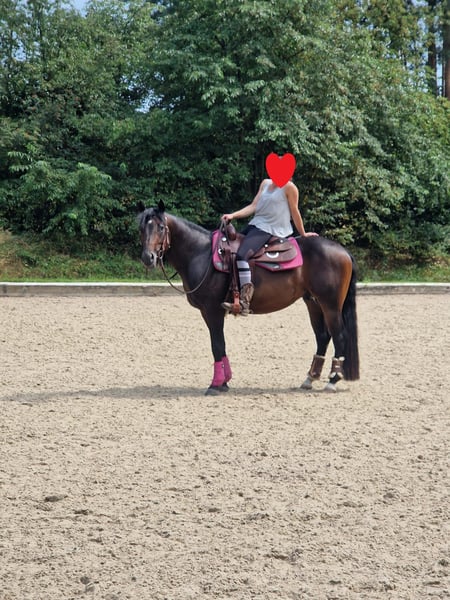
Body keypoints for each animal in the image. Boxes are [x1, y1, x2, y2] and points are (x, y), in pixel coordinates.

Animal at [139, 200, 359, 395]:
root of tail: (343, 251)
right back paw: (310, 378)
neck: (201, 254)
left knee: (339, 336)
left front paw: (216, 384)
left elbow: (217, 344)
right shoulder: (210, 312)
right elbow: (220, 345)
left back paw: (333, 380)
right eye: (141, 227)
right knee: (322, 336)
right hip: (313, 303)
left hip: (331, 305)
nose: (148, 257)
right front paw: (224, 382)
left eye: (160, 227)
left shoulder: (212, 310)